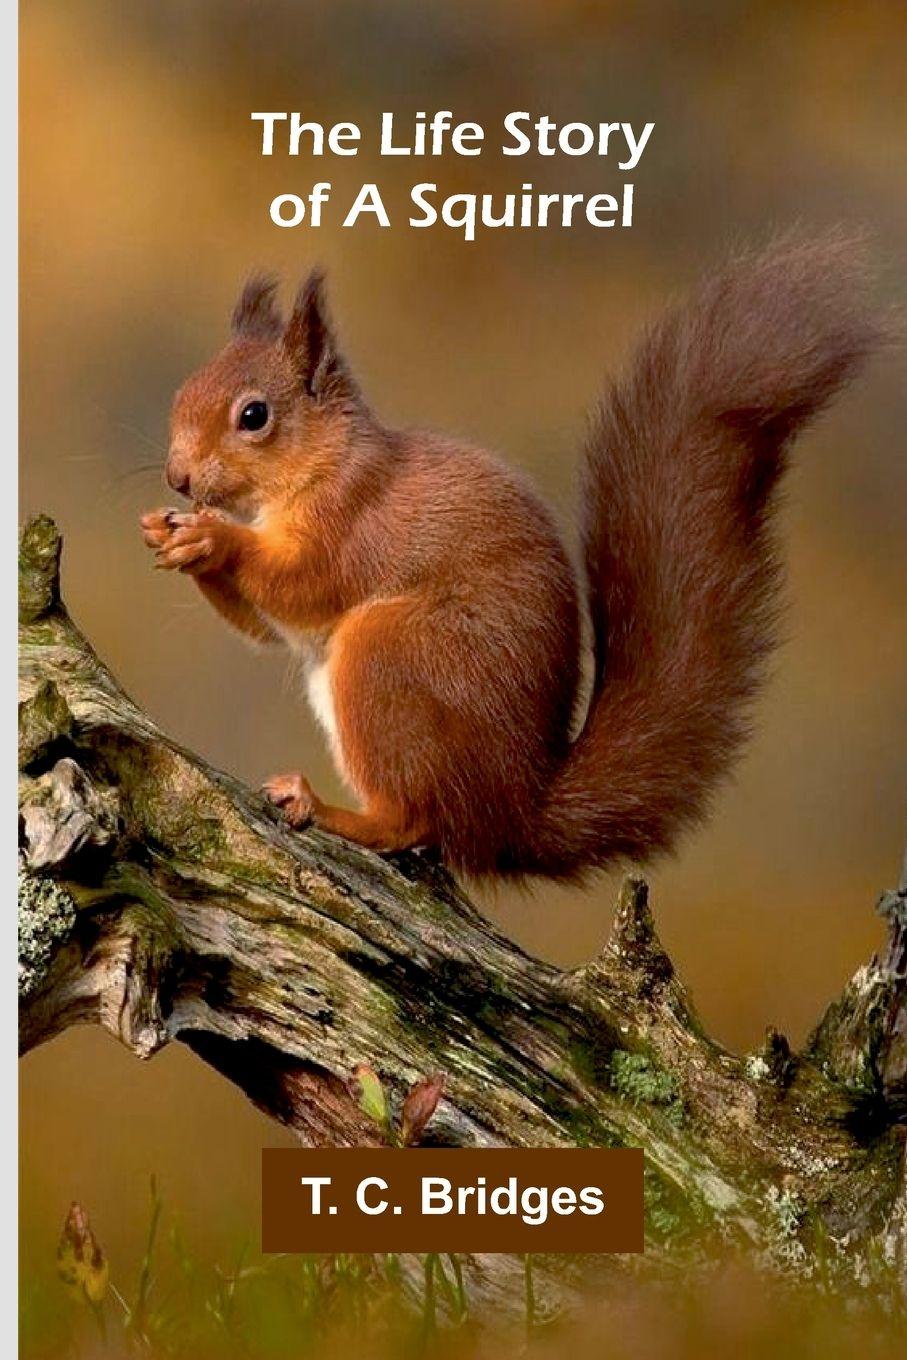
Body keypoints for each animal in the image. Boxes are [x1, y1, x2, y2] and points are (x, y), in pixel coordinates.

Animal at [142, 235, 878, 881]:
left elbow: (302, 585)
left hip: (391, 655)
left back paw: (330, 810)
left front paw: (214, 537)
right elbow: (266, 630)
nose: (177, 478)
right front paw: (170, 534)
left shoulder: (352, 523)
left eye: (254, 415)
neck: (322, 465)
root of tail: (511, 813)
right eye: (181, 393)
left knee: (413, 820)